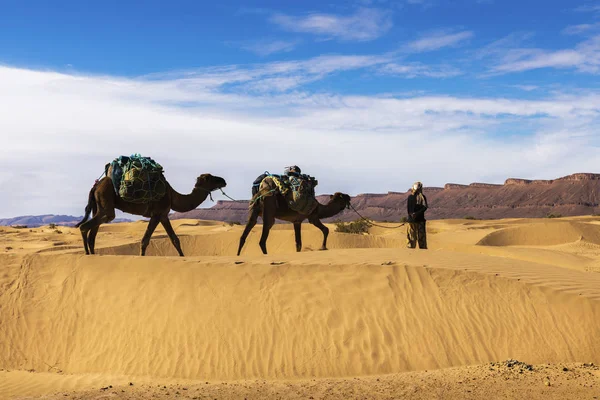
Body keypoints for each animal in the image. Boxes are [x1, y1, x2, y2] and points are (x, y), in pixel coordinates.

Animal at [75, 172, 225, 256]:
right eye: (210, 177)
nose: (223, 181)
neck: (172, 196)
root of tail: (96, 185)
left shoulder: (164, 215)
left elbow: (175, 239)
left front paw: (183, 257)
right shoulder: (157, 214)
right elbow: (145, 240)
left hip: (98, 206)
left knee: (92, 234)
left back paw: (92, 255)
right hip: (106, 203)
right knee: (86, 226)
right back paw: (87, 254)